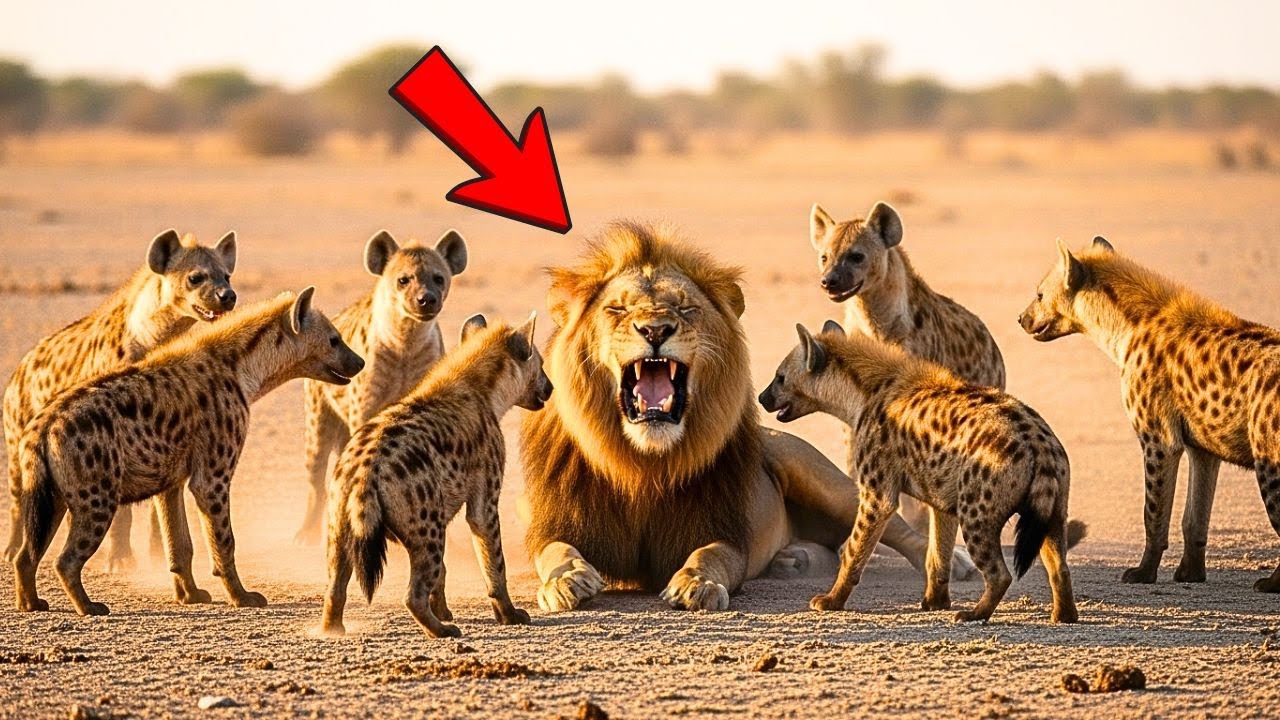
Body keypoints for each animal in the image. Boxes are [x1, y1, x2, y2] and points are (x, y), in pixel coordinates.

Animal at [520, 221, 976, 612]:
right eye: (616, 309)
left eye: (685, 309)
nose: (655, 329)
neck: (641, 464)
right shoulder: (554, 524)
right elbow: (555, 551)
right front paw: (567, 580)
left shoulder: (723, 531)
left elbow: (710, 556)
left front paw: (697, 585)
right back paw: (793, 560)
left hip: (821, 478)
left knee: (894, 526)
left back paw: (954, 561)